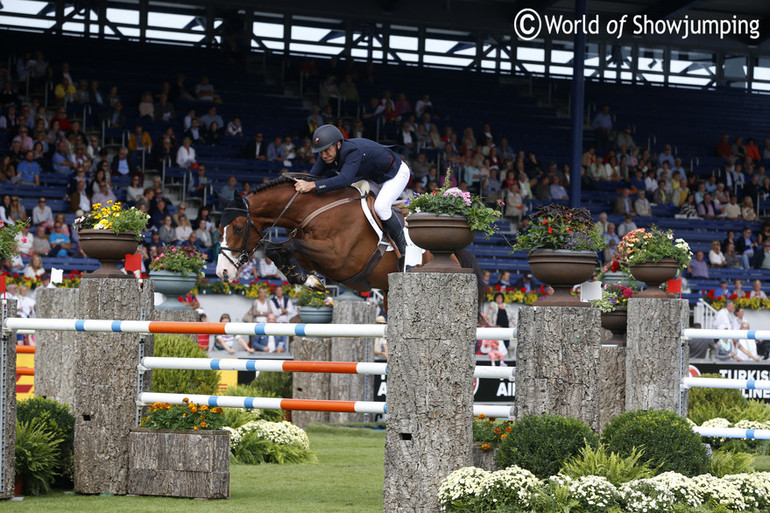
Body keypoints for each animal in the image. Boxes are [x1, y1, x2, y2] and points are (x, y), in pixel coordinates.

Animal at [213, 174, 484, 300]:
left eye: (238, 228)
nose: (222, 273)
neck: (312, 210)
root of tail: (452, 257)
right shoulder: (311, 254)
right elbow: (281, 251)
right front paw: (308, 280)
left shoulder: (337, 257)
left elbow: (282, 247)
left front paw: (310, 281)